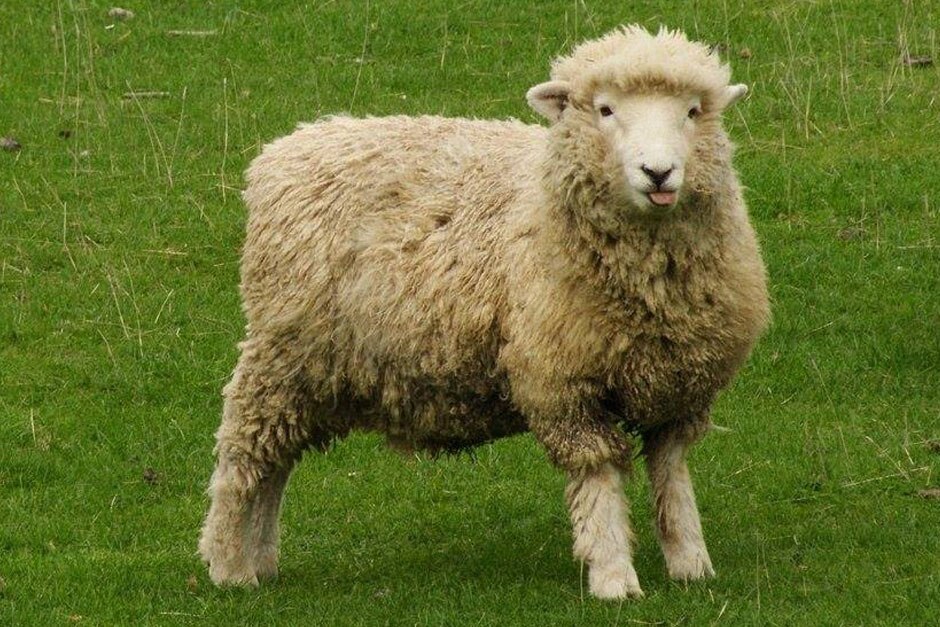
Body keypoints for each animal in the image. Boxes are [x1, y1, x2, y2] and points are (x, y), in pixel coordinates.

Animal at [198, 25, 770, 600]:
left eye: (693, 111)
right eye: (605, 109)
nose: (659, 173)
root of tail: (284, 150)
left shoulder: (681, 387)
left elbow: (672, 474)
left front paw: (691, 563)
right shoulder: (564, 386)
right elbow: (598, 476)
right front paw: (613, 576)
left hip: (312, 372)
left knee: (276, 463)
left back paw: (262, 561)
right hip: (283, 355)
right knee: (244, 458)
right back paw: (229, 565)